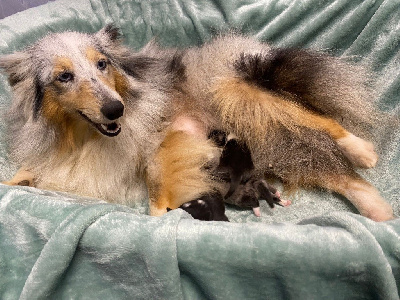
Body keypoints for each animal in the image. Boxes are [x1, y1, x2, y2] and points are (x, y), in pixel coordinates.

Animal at [0, 25, 394, 221]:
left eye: (102, 64)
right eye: (63, 76)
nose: (116, 110)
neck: (81, 137)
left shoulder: (153, 145)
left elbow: (155, 184)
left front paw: (157, 215)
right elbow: (26, 173)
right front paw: (11, 181)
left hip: (234, 90)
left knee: (315, 117)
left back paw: (362, 150)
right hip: (273, 142)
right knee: (336, 173)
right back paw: (378, 211)